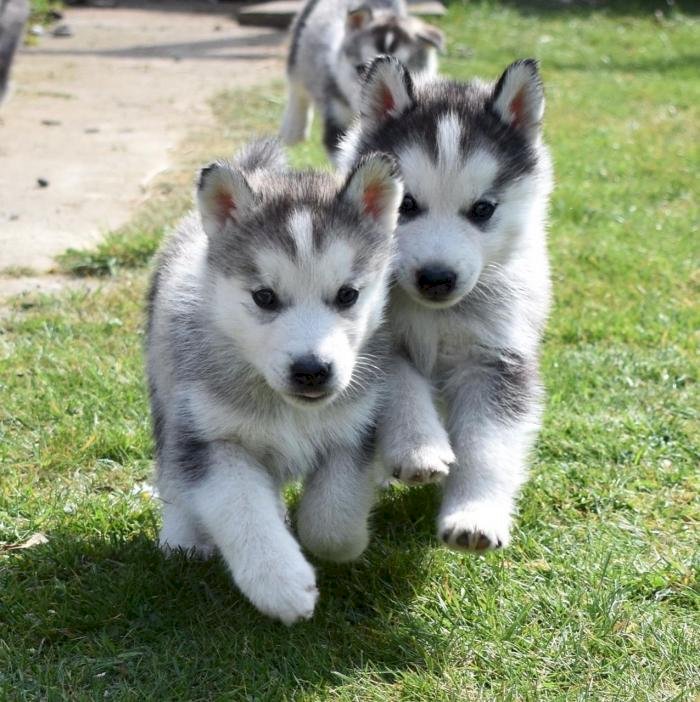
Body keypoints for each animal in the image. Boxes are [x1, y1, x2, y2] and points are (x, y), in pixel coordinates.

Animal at [145, 140, 402, 624]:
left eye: (348, 295)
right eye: (264, 297)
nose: (311, 370)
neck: (289, 409)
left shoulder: (356, 428)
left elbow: (331, 519)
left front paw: (346, 541)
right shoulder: (213, 439)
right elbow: (241, 507)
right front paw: (280, 584)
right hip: (167, 395)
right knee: (173, 471)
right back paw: (183, 536)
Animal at [338, 59, 552, 556]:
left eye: (483, 209)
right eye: (407, 204)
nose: (436, 278)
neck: (435, 317)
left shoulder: (497, 359)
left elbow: (488, 445)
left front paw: (475, 516)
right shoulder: (376, 344)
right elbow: (402, 389)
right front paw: (418, 450)